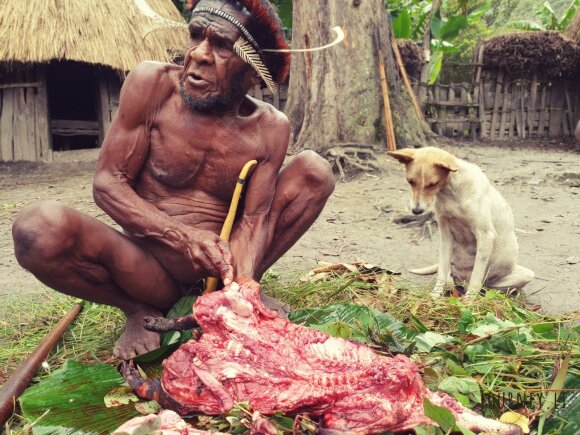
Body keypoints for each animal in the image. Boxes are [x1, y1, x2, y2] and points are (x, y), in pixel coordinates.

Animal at [390, 148, 536, 298]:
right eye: (410, 181)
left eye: (433, 184)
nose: (416, 211)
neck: (451, 192)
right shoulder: (446, 236)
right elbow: (441, 274)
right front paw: (435, 296)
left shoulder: (485, 236)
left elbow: (476, 277)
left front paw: (469, 300)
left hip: (524, 275)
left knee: (488, 286)